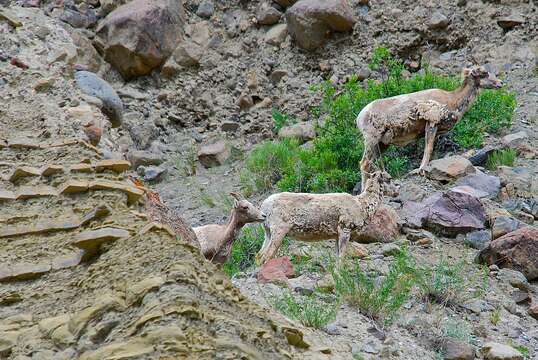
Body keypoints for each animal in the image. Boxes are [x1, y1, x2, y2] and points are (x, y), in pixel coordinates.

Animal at [253, 170, 396, 266]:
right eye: (389, 179)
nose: (396, 191)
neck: (362, 205)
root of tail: (265, 206)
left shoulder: (337, 235)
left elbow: (338, 255)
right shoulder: (345, 229)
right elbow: (342, 256)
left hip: (268, 232)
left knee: (259, 255)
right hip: (279, 231)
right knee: (266, 255)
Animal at [356, 64, 502, 190]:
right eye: (484, 74)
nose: (500, 83)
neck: (452, 100)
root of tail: (360, 116)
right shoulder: (432, 123)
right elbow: (428, 148)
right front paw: (422, 170)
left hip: (381, 144)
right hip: (372, 140)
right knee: (364, 163)